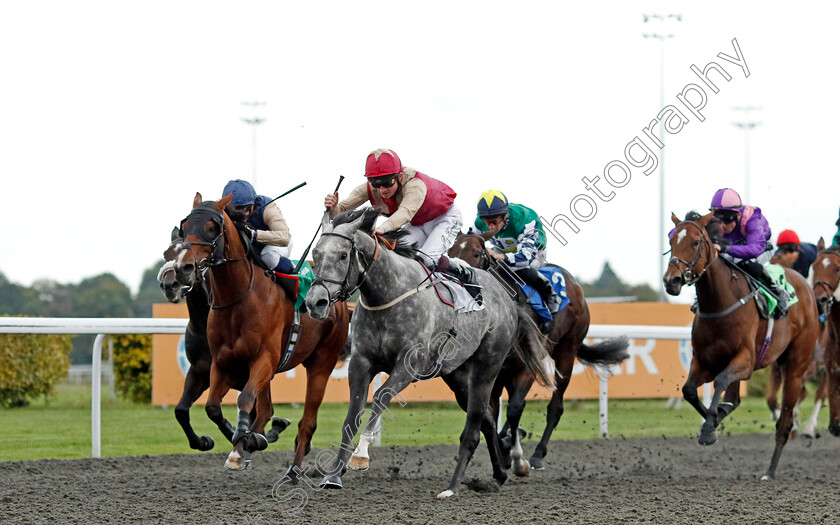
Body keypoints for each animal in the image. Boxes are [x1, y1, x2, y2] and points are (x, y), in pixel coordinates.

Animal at [176, 192, 350, 474]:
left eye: (212, 227)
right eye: (184, 226)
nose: (184, 268)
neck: (238, 299)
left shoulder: (263, 360)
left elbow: (246, 400)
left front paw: (244, 440)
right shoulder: (221, 365)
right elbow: (212, 407)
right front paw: (240, 440)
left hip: (322, 362)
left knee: (306, 419)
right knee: (266, 410)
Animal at [306, 208, 556, 496]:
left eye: (343, 255)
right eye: (316, 254)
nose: (315, 302)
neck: (388, 295)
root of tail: (508, 299)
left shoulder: (409, 365)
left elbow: (380, 397)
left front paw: (361, 455)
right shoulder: (360, 362)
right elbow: (352, 415)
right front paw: (333, 475)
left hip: (487, 367)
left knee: (474, 424)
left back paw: (453, 487)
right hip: (457, 375)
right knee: (487, 418)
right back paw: (499, 473)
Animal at [450, 233, 628, 470]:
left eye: (477, 254)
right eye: (450, 252)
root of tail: (575, 285)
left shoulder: (526, 366)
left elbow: (514, 408)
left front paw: (513, 455)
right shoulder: (493, 371)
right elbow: (490, 413)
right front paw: (504, 449)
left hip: (566, 353)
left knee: (555, 407)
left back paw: (537, 453)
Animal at [664, 213, 820, 478]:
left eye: (696, 242)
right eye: (672, 241)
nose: (671, 280)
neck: (720, 303)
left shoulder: (745, 361)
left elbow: (720, 381)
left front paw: (709, 430)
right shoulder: (704, 360)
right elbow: (690, 390)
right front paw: (711, 423)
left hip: (795, 366)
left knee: (785, 421)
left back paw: (770, 470)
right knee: (734, 399)